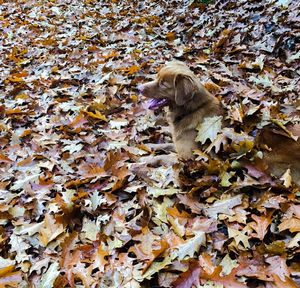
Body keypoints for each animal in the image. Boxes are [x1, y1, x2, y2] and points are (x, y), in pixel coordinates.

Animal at [138, 60, 300, 187]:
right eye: (156, 77)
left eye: (163, 84)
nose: (138, 88)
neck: (191, 110)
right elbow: (165, 145)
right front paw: (151, 146)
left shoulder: (188, 157)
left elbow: (161, 157)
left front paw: (140, 163)